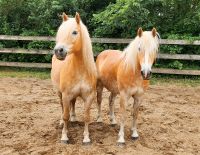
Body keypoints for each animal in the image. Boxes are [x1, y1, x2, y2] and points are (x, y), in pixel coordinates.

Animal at [50, 12, 96, 144]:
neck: (80, 70)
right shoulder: (66, 95)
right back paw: (61, 121)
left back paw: (74, 118)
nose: (58, 51)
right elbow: (65, 115)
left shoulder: (89, 97)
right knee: (62, 108)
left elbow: (86, 117)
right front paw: (64, 136)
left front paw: (86, 138)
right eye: (60, 32)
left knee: (74, 103)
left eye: (75, 32)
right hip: (59, 93)